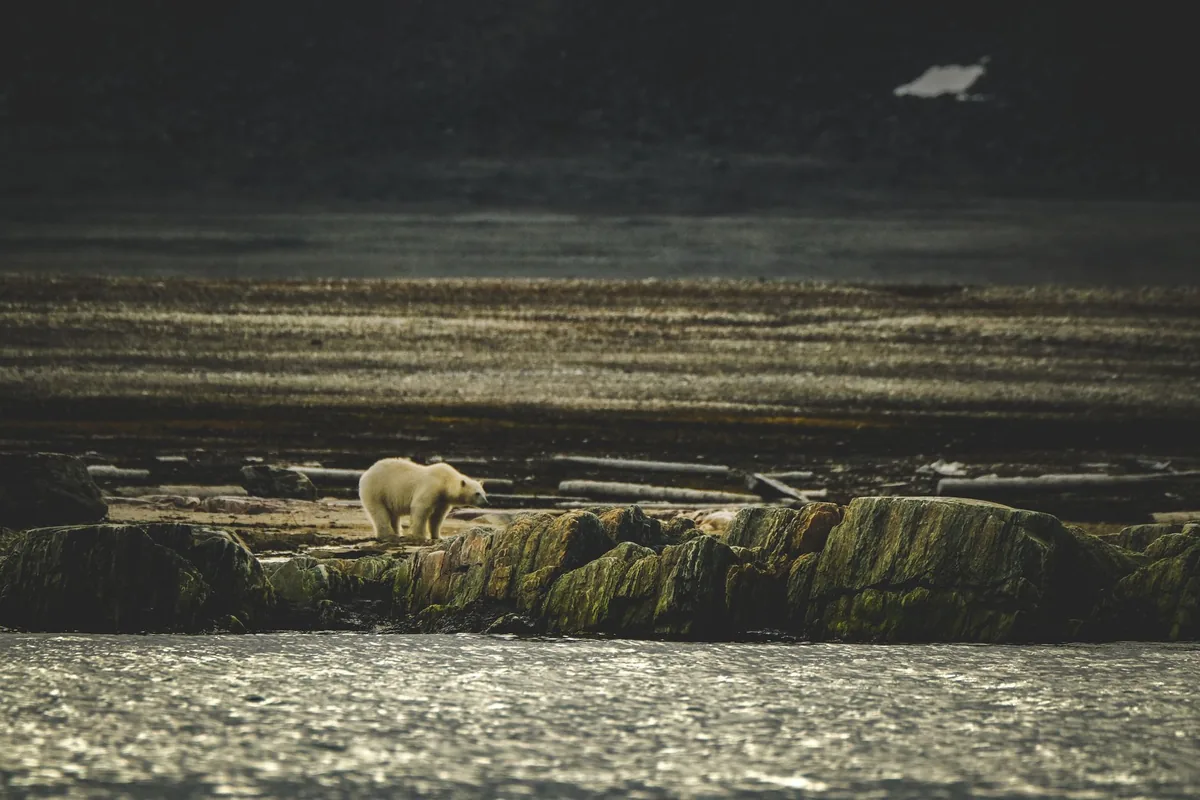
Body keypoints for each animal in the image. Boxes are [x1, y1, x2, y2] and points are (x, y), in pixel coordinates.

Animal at [358, 457, 488, 544]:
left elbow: (437, 516)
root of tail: (367, 472)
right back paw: (389, 536)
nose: (486, 503)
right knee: (379, 512)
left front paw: (438, 536)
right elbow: (421, 508)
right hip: (376, 490)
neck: (445, 481)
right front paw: (420, 536)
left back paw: (396, 533)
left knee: (392, 514)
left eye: (484, 493)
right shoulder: (431, 487)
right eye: (477, 493)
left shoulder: (442, 499)